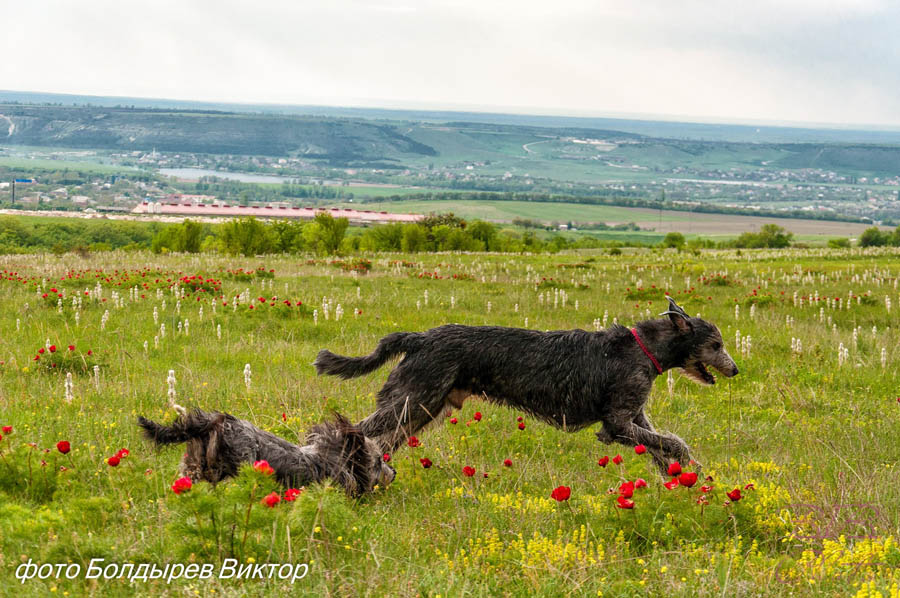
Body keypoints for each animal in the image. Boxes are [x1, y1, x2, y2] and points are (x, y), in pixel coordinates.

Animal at [316, 298, 740, 476]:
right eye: (716, 344)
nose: (736, 370)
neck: (644, 348)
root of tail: (419, 338)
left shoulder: (634, 415)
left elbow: (658, 443)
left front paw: (680, 475)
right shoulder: (618, 421)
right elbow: (672, 442)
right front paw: (687, 466)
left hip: (421, 408)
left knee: (382, 442)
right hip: (410, 398)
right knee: (358, 429)